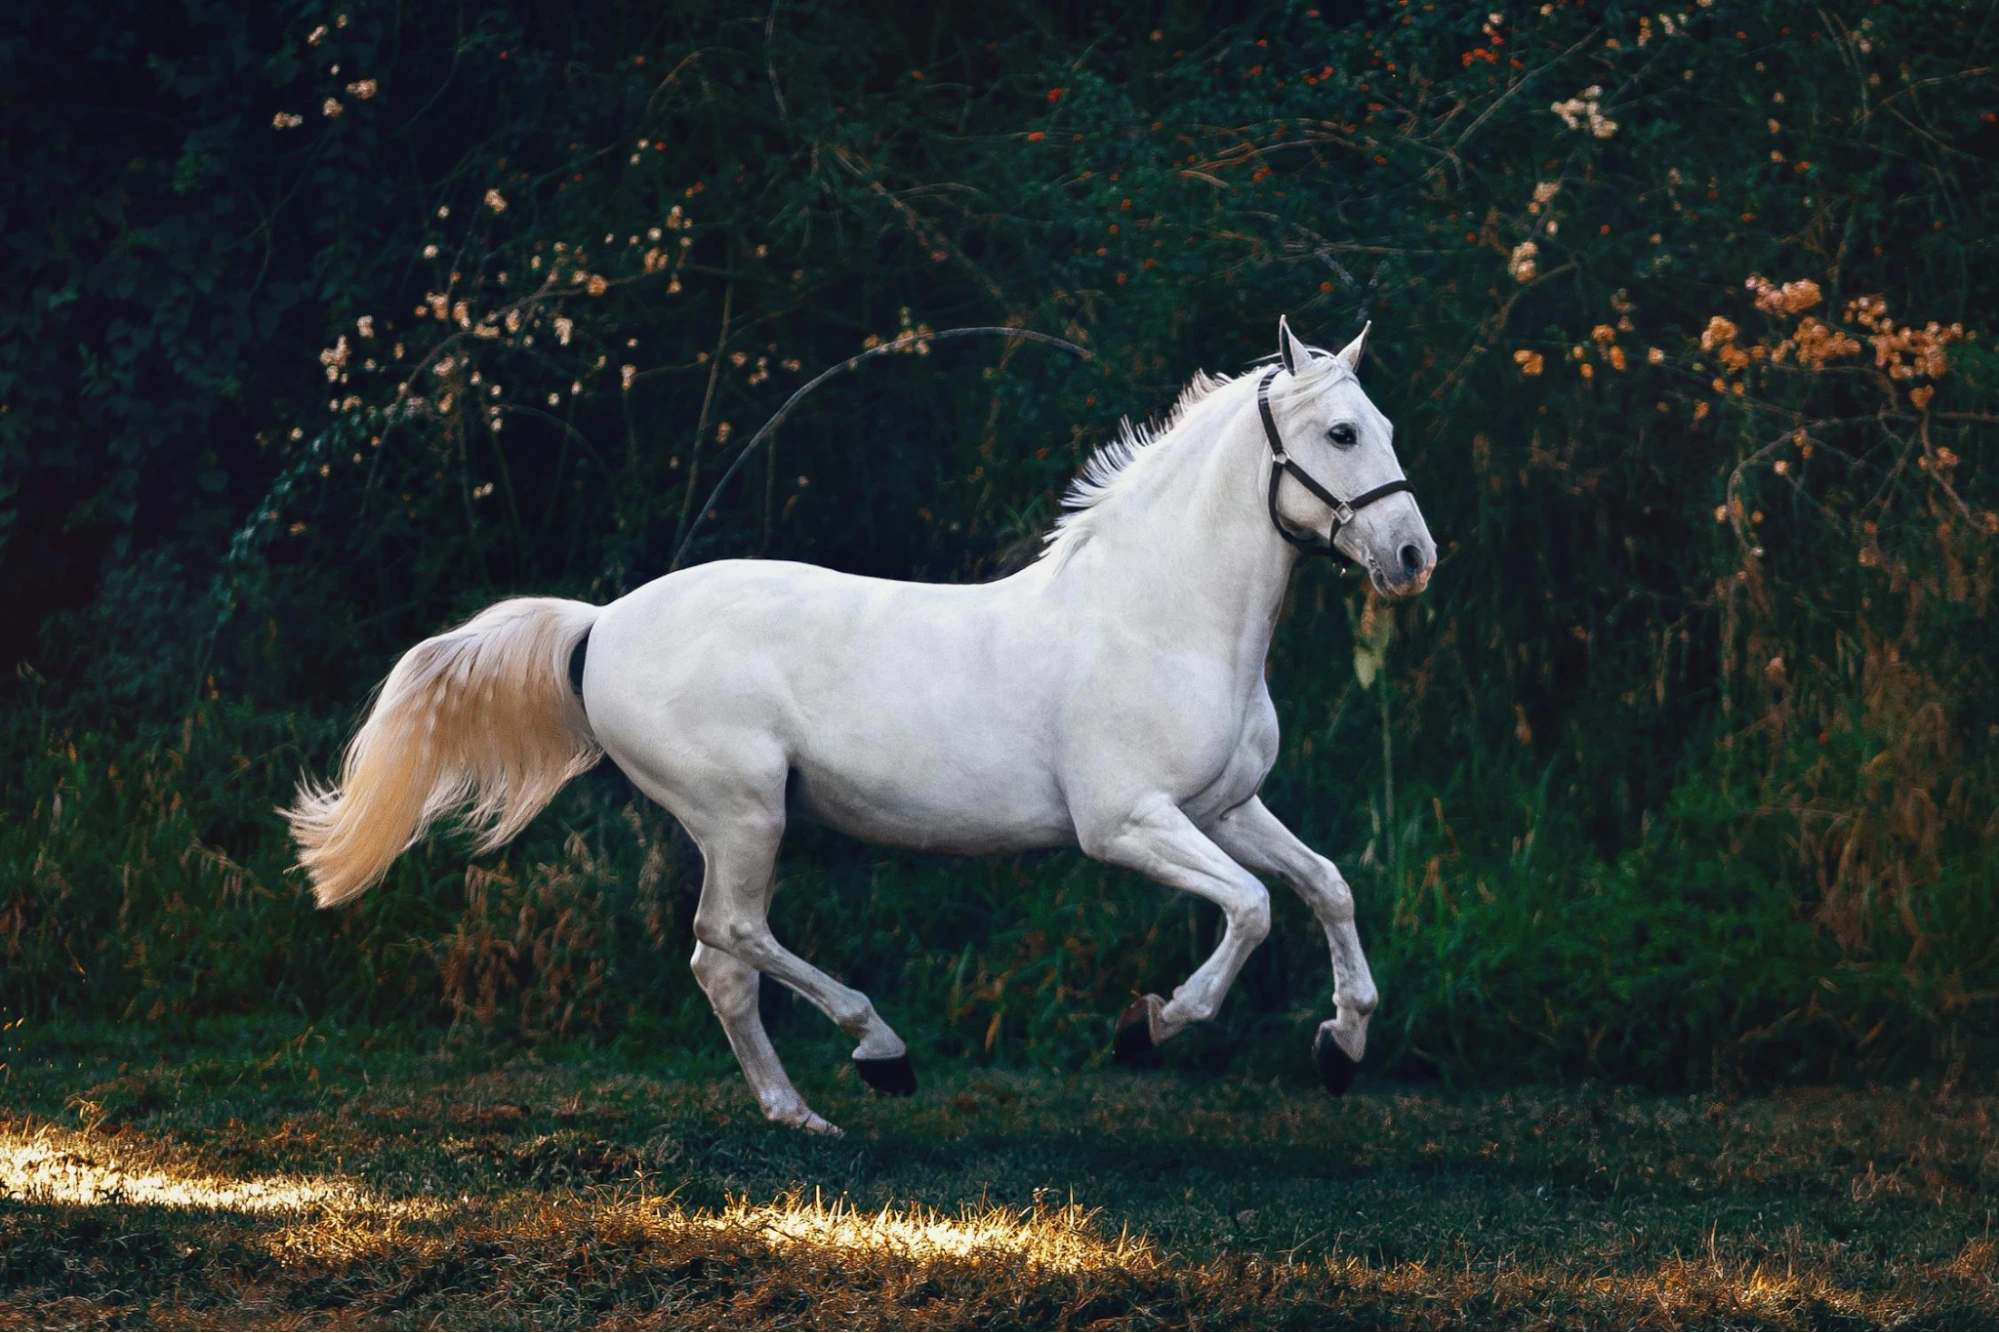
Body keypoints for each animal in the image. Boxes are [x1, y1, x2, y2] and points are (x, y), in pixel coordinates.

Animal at [287, 315, 1436, 1134]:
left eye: (1386, 428)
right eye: (1341, 432)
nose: (1412, 556)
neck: (1160, 616)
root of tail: (600, 622)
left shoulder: (1226, 806)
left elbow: (1325, 885)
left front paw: (1341, 1045)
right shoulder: (1127, 824)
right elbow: (1251, 908)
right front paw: (1149, 1025)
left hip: (739, 822)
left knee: (719, 963)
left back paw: (799, 1113)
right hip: (743, 812)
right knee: (730, 937)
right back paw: (878, 1052)